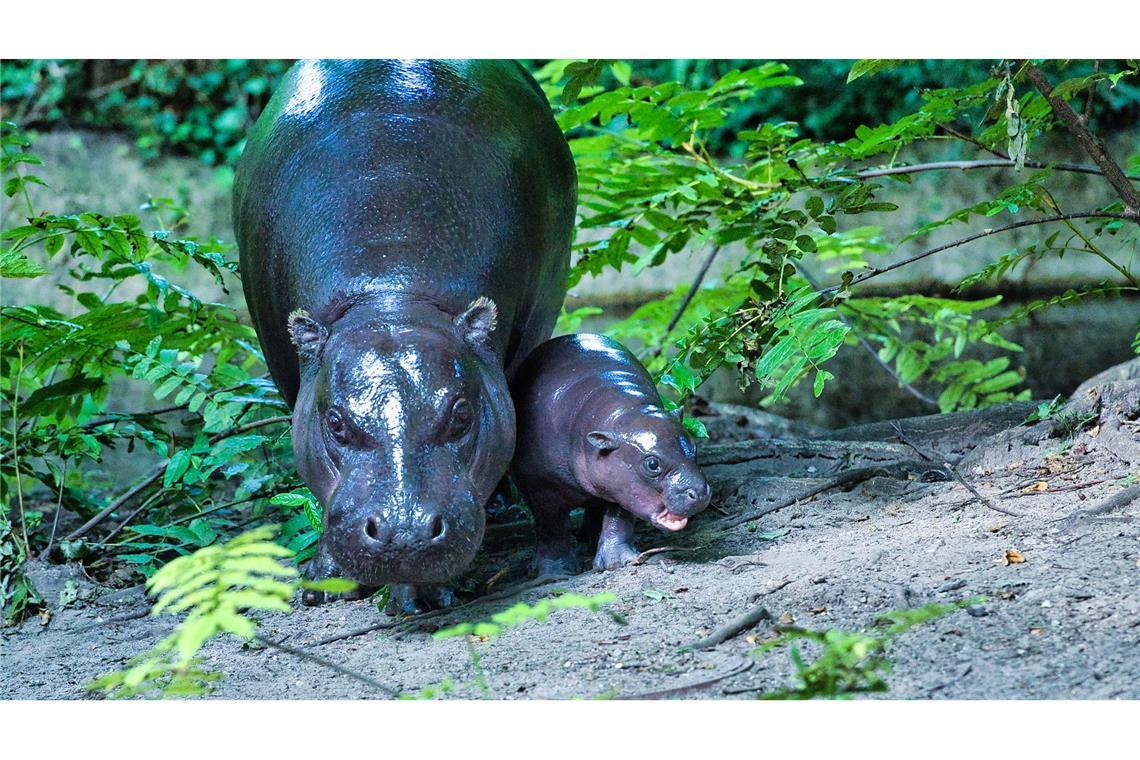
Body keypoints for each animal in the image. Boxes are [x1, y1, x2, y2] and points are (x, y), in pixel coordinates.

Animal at [237, 59, 583, 610]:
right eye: (335, 424)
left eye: (461, 414)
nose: (405, 533)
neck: (392, 295)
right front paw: (323, 584)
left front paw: (426, 595)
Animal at [510, 334, 706, 574]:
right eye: (652, 464)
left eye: (694, 448)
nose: (701, 491)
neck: (622, 413)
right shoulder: (542, 485)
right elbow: (550, 525)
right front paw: (555, 572)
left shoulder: (622, 484)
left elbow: (618, 518)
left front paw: (620, 561)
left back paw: (588, 544)